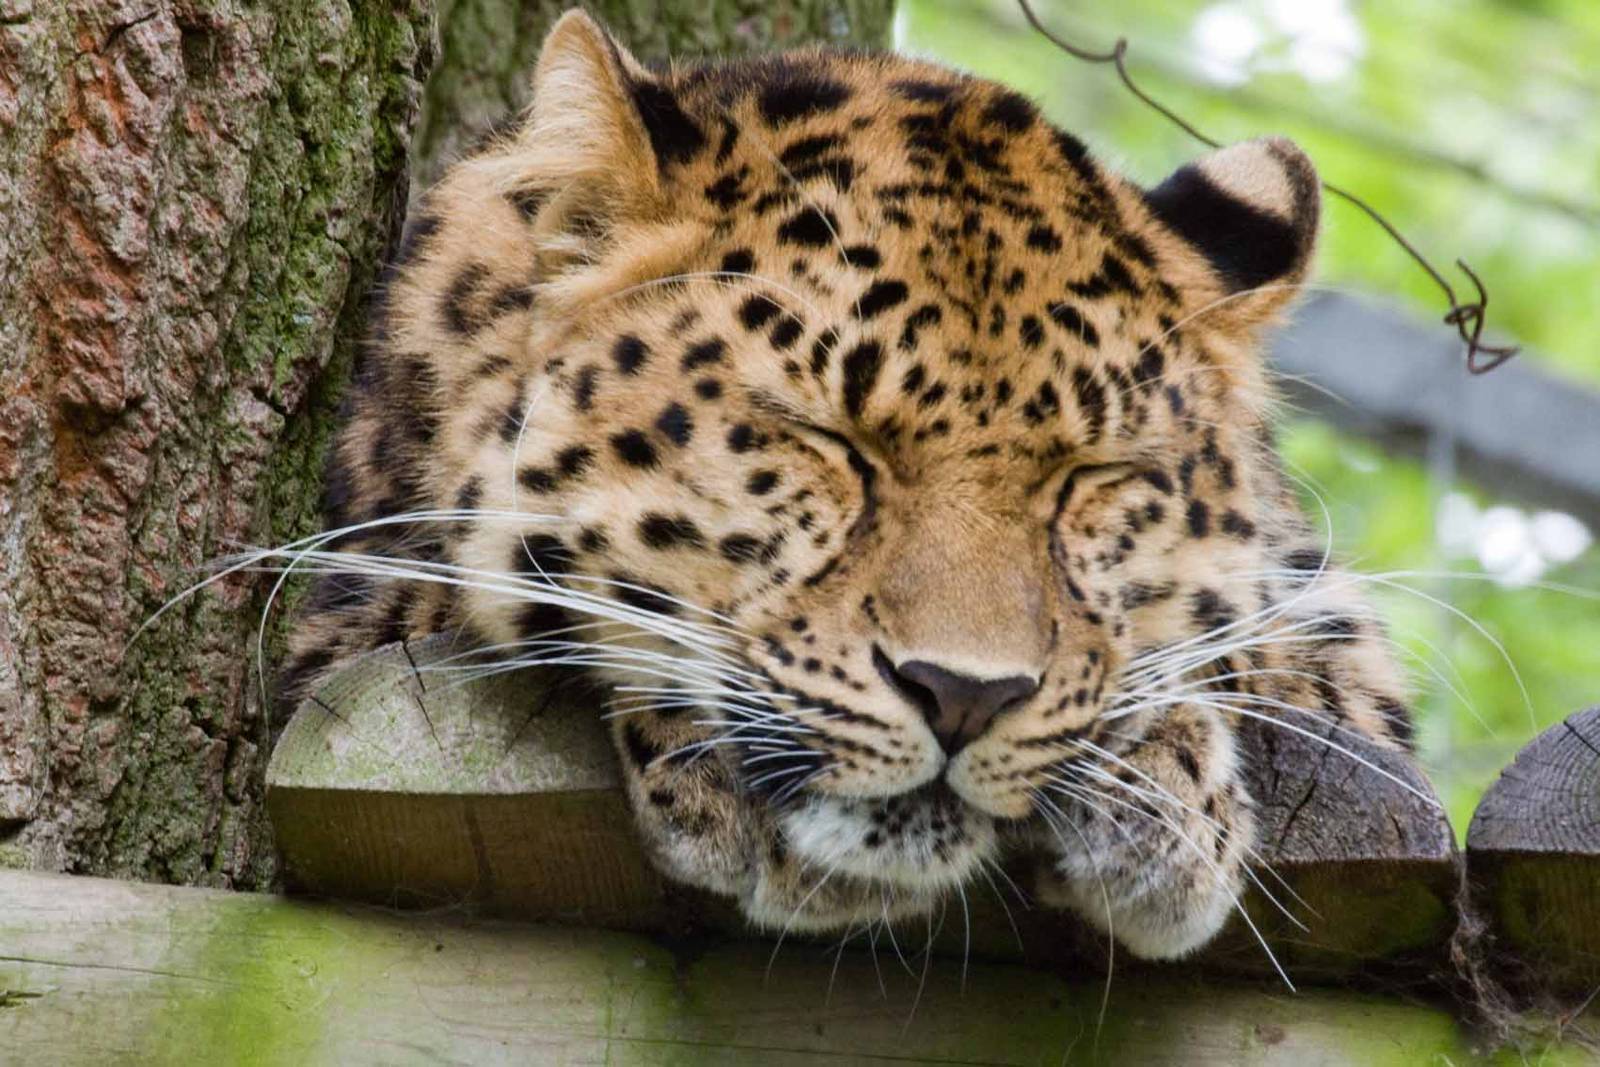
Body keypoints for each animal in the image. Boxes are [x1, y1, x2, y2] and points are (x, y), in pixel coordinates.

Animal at [279, 10, 1417, 961]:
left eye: (1087, 476)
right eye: (830, 440)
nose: (964, 695)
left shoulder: (1324, 617)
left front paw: (1163, 793)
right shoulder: (343, 607)